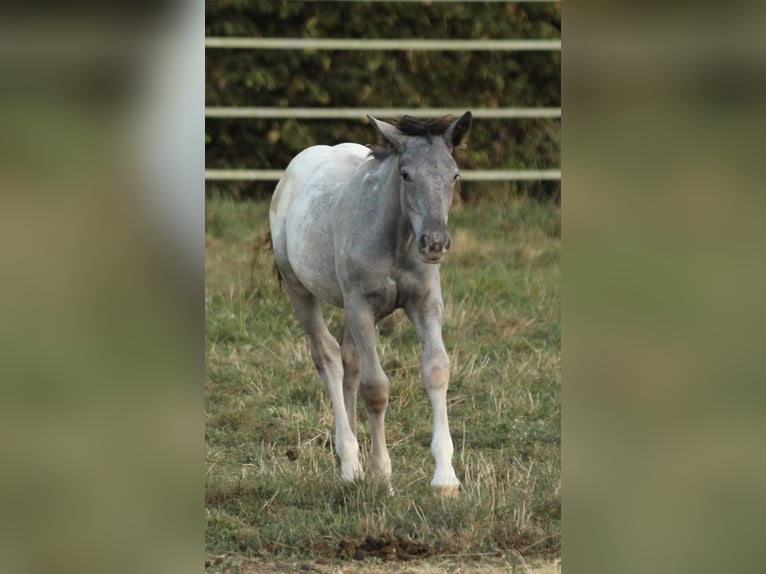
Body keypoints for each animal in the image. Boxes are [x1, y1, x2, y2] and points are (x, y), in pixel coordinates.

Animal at [270, 113, 474, 500]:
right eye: (406, 173)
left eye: (454, 175)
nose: (435, 243)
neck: (397, 239)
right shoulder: (360, 305)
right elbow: (376, 388)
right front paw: (382, 475)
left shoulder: (424, 302)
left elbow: (437, 370)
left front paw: (445, 479)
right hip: (301, 290)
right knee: (329, 357)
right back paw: (350, 465)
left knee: (349, 361)